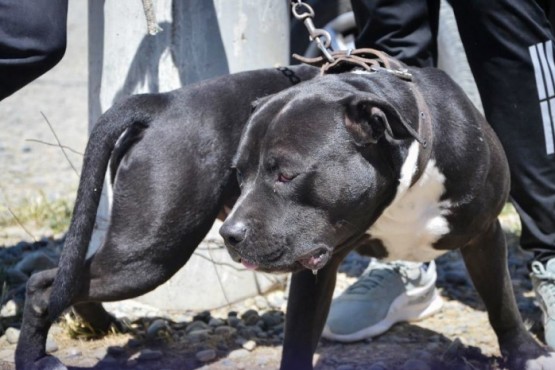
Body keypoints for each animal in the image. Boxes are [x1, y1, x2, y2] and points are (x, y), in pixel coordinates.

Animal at [219, 55, 555, 370]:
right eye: (239, 174)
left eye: (287, 175)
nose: (229, 234)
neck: (405, 184)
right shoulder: (314, 263)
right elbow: (299, 335)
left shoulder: (485, 234)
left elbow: (502, 300)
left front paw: (527, 354)